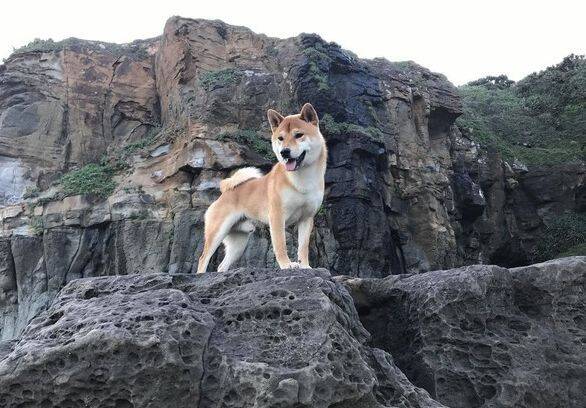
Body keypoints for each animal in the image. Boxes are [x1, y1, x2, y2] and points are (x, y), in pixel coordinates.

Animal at [195, 103, 324, 274]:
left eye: (298, 135)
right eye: (280, 138)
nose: (284, 152)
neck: (302, 179)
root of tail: (225, 193)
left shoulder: (306, 218)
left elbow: (303, 248)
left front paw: (305, 266)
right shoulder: (277, 217)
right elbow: (281, 245)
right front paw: (286, 265)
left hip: (239, 242)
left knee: (222, 266)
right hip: (217, 232)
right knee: (203, 258)